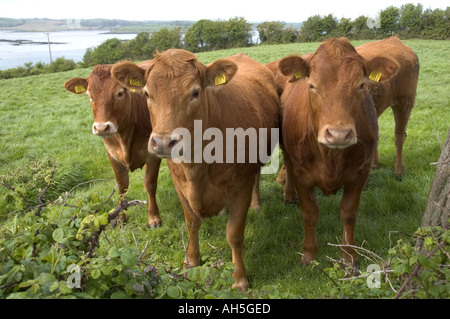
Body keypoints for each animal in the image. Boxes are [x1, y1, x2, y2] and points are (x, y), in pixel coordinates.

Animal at [62, 62, 163, 228]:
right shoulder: (112, 154)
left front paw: (154, 218)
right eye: (89, 96)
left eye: (120, 93)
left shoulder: (153, 154)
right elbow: (122, 186)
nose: (101, 128)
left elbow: (150, 184)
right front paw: (120, 216)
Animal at [112, 49, 280, 290]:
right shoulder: (179, 184)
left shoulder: (242, 185)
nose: (163, 142)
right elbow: (191, 223)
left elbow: (234, 233)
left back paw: (256, 205)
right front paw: (191, 261)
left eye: (195, 92)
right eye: (147, 94)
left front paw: (239, 277)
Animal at [278, 38, 400, 268]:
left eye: (361, 85)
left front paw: (349, 256)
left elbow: (349, 213)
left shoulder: (361, 172)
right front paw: (309, 255)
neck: (330, 158)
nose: (338, 134)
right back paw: (289, 194)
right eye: (312, 86)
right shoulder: (301, 174)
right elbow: (309, 213)